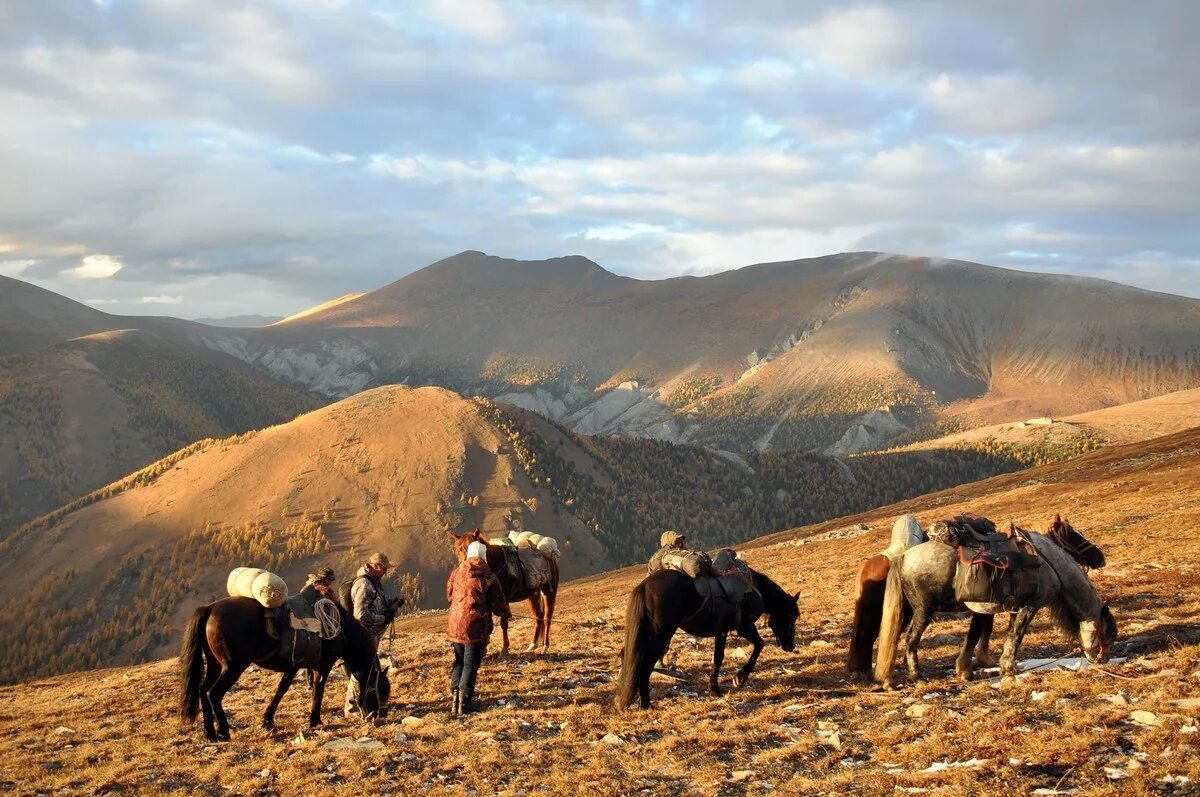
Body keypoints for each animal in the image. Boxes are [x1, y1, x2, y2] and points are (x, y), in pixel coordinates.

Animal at [177, 597, 388, 739]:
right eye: (381, 690)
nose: (381, 715)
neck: (342, 630)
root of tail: (210, 608)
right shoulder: (323, 666)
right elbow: (318, 692)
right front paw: (315, 721)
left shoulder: (295, 665)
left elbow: (281, 689)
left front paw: (268, 720)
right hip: (232, 666)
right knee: (213, 693)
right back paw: (224, 732)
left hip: (214, 664)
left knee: (203, 692)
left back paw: (210, 734)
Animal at [614, 566, 801, 710]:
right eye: (792, 615)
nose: (790, 646)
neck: (754, 589)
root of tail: (645, 585)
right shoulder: (745, 627)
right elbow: (759, 645)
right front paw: (740, 677)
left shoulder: (722, 631)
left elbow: (718, 658)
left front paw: (715, 688)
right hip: (661, 636)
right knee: (645, 666)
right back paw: (646, 704)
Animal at [844, 516, 1104, 676]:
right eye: (1073, 535)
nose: (1100, 557)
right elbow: (981, 632)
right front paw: (973, 666)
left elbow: (983, 632)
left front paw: (980, 662)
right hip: (911, 610)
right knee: (881, 637)